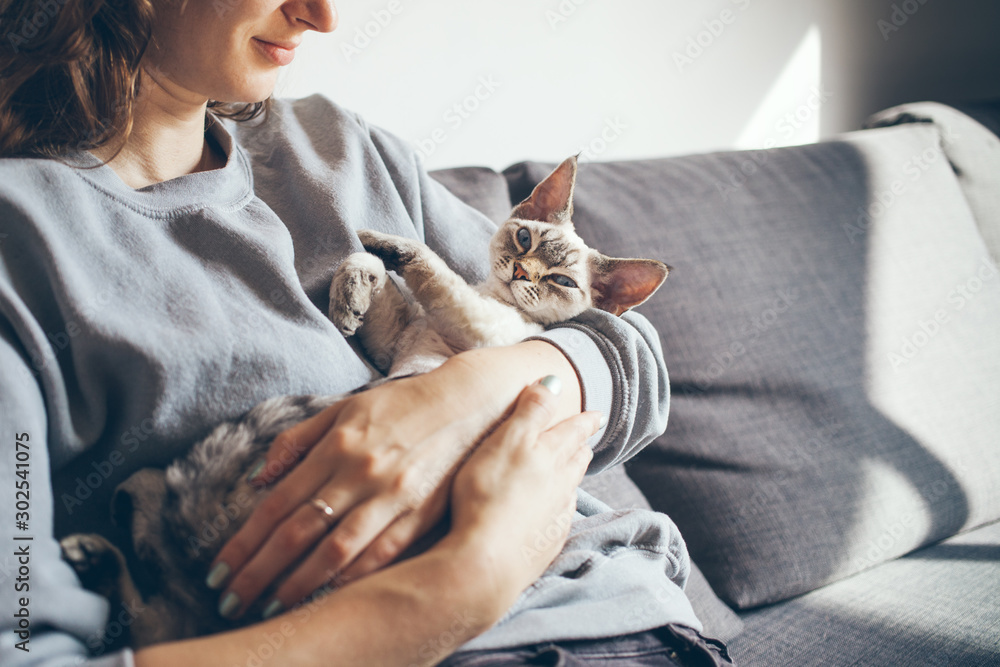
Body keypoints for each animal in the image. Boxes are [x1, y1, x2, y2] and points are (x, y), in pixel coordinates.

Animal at [58, 154, 668, 648]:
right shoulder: (399, 338)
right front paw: (350, 293)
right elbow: (371, 271)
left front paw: (386, 251)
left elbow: (429, 269)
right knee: (154, 615)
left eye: (562, 280)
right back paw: (99, 549)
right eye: (525, 241)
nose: (522, 271)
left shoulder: (481, 333)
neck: (494, 299)